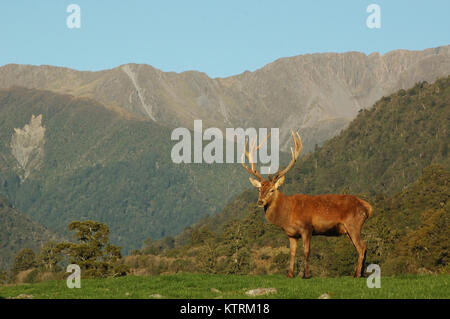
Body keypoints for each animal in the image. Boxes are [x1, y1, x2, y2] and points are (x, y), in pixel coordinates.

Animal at [243, 131, 372, 278]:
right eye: (259, 189)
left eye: (272, 190)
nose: (260, 201)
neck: (287, 215)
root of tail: (367, 207)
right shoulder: (291, 234)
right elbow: (292, 253)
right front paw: (290, 274)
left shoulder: (307, 227)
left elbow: (306, 251)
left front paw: (306, 275)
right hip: (348, 229)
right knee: (362, 247)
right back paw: (361, 273)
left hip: (353, 224)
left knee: (361, 247)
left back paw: (357, 274)